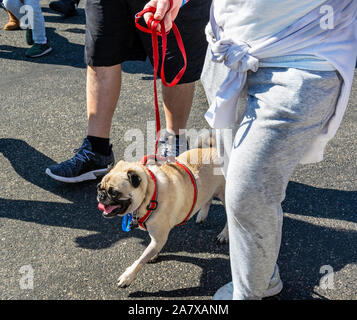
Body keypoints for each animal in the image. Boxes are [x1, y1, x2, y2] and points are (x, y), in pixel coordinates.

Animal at [96, 139, 227, 288]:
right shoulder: (156, 239)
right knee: (208, 199)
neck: (150, 193)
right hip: (209, 190)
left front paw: (128, 276)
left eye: (114, 193)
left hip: (226, 195)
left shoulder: (159, 238)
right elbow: (149, 250)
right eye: (99, 187)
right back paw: (202, 215)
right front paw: (153, 255)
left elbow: (141, 259)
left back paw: (223, 235)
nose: (101, 195)